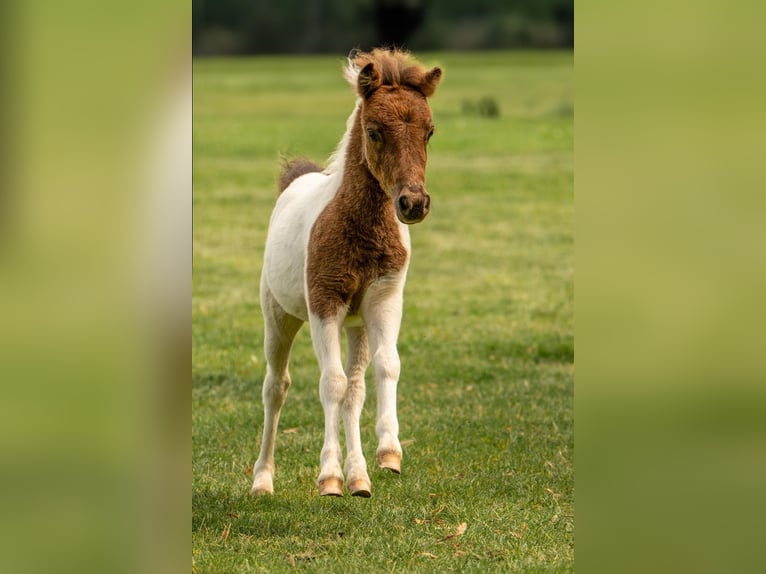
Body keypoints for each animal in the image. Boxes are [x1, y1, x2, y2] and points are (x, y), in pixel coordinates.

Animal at [254, 48, 444, 500]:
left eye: (430, 132)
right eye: (374, 132)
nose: (414, 203)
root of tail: (297, 178)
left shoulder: (385, 299)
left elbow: (386, 367)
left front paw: (389, 452)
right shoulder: (325, 304)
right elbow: (331, 384)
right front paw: (329, 476)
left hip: (356, 326)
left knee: (356, 390)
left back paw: (359, 476)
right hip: (279, 315)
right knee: (276, 387)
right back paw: (263, 479)